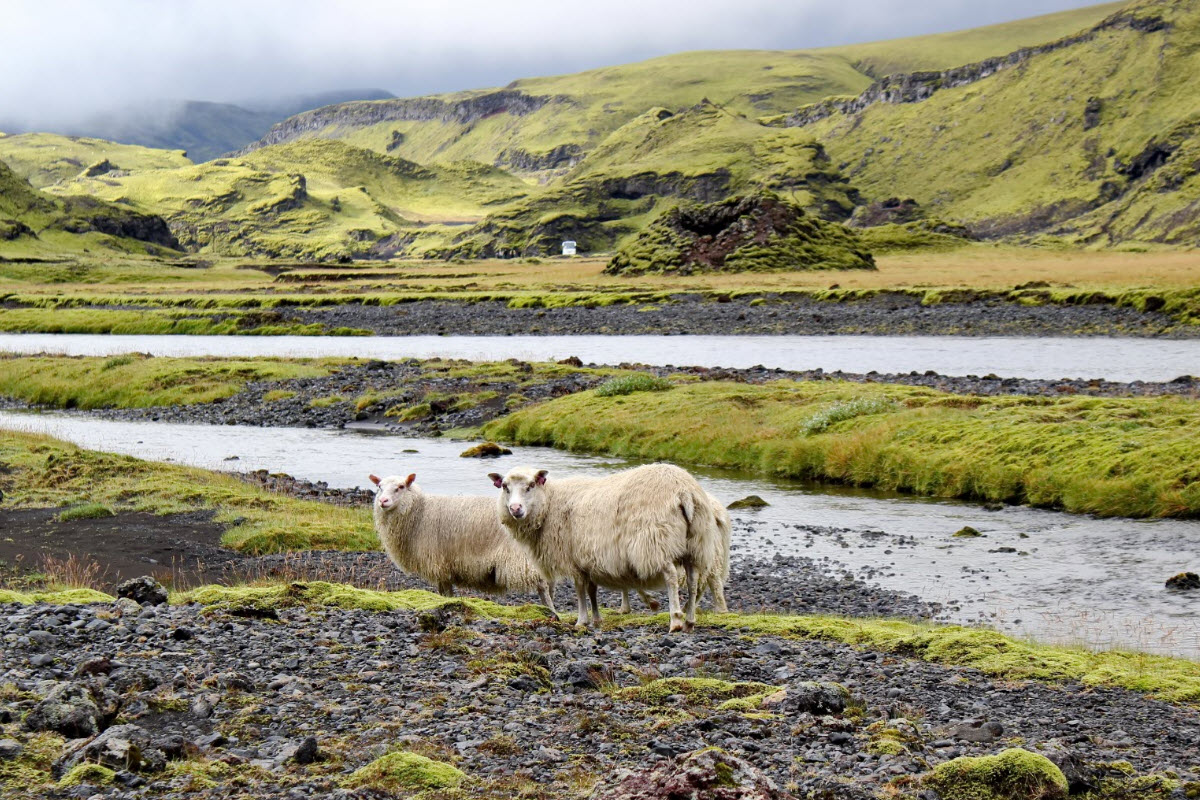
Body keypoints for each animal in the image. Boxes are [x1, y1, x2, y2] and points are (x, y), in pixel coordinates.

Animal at [369, 474, 556, 618]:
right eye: (379, 487)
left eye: (400, 487)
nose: (383, 501)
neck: (419, 512)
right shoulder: (444, 565)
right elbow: (443, 592)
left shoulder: (438, 563)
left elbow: (446, 592)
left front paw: (447, 603)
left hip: (523, 558)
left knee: (543, 586)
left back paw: (551, 611)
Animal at [487, 462, 720, 633]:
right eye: (505, 487)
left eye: (531, 486)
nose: (515, 508)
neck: (550, 504)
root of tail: (684, 491)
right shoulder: (588, 560)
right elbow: (592, 590)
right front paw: (597, 619)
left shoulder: (574, 560)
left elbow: (580, 590)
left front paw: (582, 620)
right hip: (696, 543)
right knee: (692, 581)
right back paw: (690, 620)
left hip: (656, 542)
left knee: (671, 577)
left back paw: (676, 621)